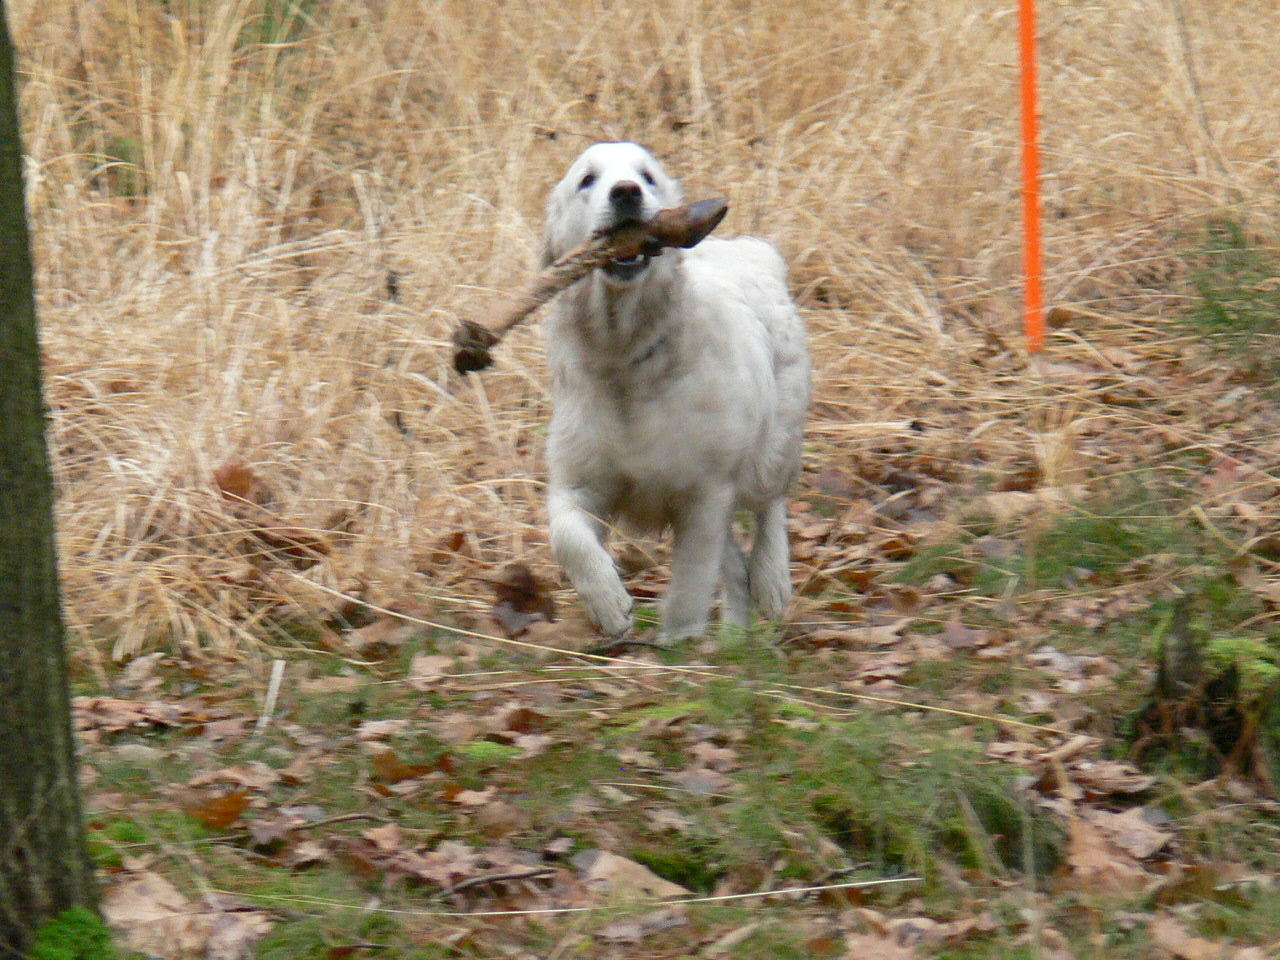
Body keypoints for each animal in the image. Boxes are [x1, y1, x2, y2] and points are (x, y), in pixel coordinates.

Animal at [540, 142, 808, 647]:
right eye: (588, 179)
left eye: (646, 176)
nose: (626, 192)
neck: (626, 355)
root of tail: (749, 250)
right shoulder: (579, 482)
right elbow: (566, 536)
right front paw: (609, 605)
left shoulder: (705, 493)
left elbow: (689, 585)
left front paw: (677, 643)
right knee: (735, 566)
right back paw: (734, 640)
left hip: (772, 446)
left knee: (770, 507)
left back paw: (772, 580)